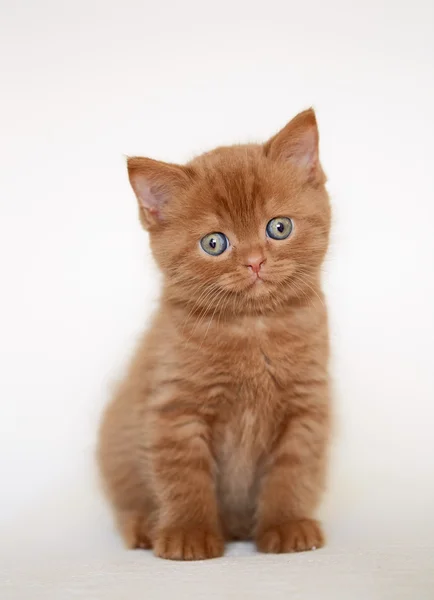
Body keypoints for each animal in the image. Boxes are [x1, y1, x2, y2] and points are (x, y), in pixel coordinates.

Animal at [96, 109, 330, 564]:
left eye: (279, 227)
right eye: (214, 243)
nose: (255, 262)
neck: (253, 327)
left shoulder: (306, 405)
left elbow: (292, 471)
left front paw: (287, 526)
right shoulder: (175, 407)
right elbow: (183, 476)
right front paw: (188, 534)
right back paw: (145, 527)